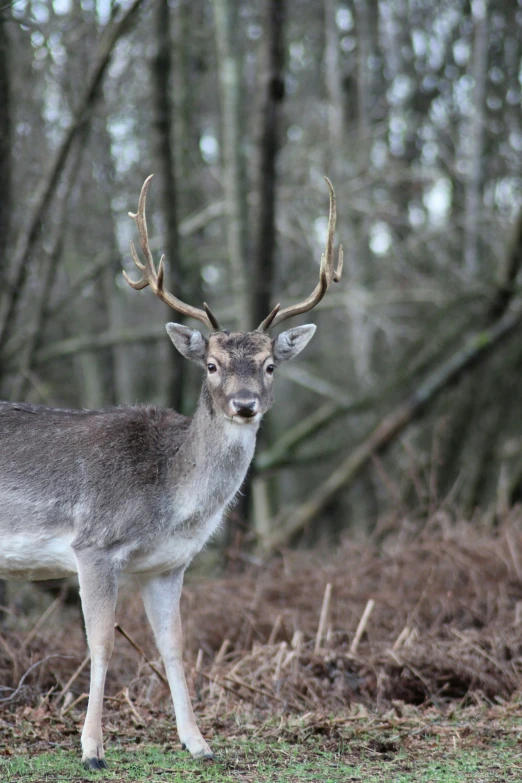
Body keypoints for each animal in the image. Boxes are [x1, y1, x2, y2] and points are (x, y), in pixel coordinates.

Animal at [0, 175, 342, 768]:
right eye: (212, 365)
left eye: (270, 365)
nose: (245, 404)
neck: (168, 499)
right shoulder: (93, 544)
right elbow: (101, 643)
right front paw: (92, 749)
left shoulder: (169, 564)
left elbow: (176, 645)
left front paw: (199, 743)